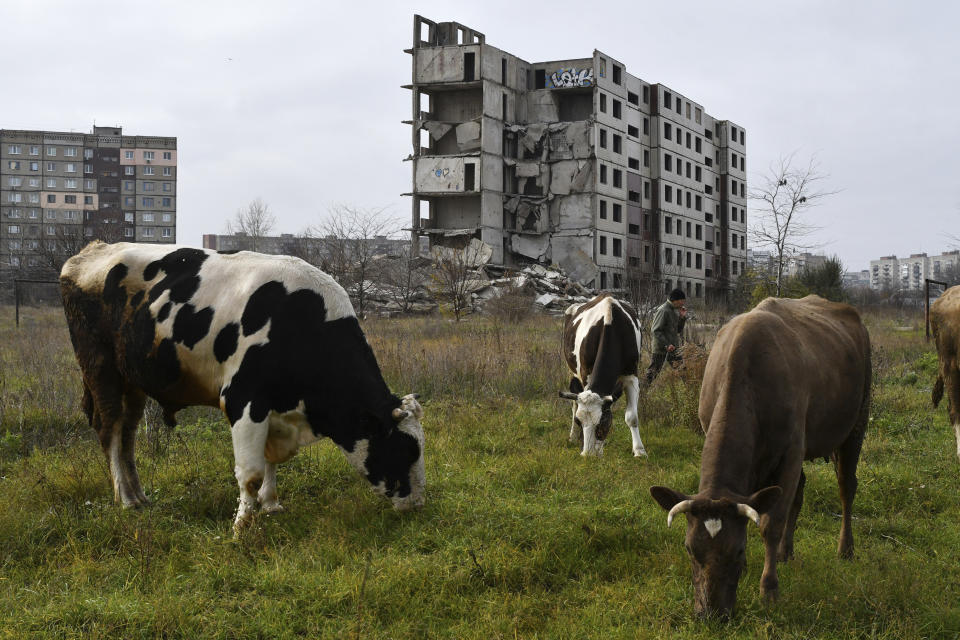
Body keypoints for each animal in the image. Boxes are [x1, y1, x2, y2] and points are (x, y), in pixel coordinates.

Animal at [56, 242, 424, 532]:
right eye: (406, 450)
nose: (418, 505)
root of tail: (91, 251)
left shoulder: (274, 410)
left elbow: (270, 461)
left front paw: (271, 504)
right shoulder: (244, 400)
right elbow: (250, 473)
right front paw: (242, 526)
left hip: (133, 380)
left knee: (128, 435)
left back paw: (139, 495)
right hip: (100, 369)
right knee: (110, 430)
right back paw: (125, 499)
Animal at [556, 292, 644, 458]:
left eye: (602, 422)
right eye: (579, 421)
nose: (587, 455)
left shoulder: (631, 375)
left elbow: (632, 417)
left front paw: (639, 451)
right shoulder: (586, 375)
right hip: (571, 371)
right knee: (573, 403)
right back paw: (572, 437)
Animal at [652, 296, 872, 620]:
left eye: (739, 550)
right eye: (689, 549)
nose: (712, 614)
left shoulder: (791, 452)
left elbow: (771, 522)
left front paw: (769, 589)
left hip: (857, 421)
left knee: (846, 487)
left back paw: (845, 549)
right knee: (799, 492)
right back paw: (785, 552)